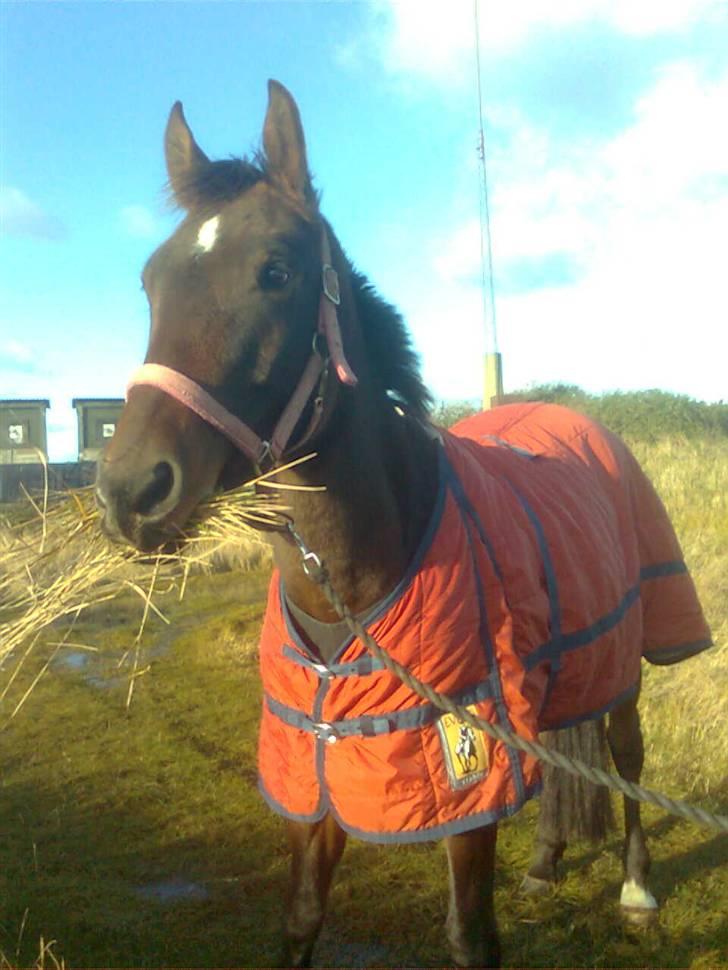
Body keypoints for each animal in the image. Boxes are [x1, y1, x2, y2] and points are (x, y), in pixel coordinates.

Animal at [96, 79, 712, 964]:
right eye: (152, 282)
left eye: (276, 271)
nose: (132, 491)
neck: (352, 588)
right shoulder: (318, 769)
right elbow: (301, 917)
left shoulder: (466, 770)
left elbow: (469, 934)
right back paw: (546, 863)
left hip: (625, 657)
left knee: (624, 758)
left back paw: (635, 885)